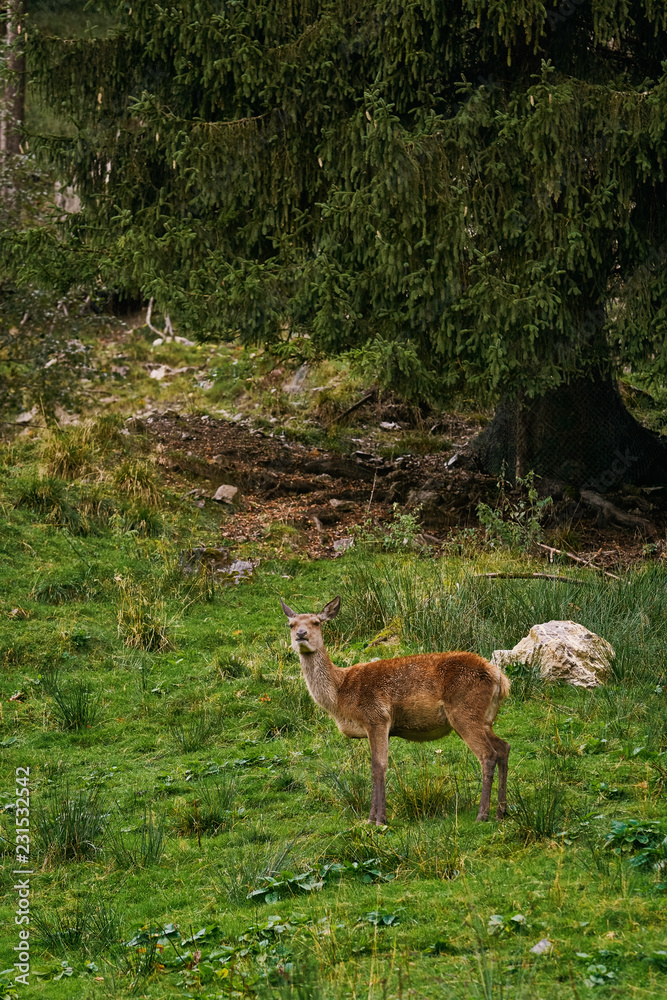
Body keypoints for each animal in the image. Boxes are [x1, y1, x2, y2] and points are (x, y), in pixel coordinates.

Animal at [280, 595, 511, 825]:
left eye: (316, 622)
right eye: (291, 624)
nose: (301, 634)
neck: (341, 696)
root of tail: (500, 678)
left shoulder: (376, 717)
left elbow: (378, 766)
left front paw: (378, 819)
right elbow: (377, 766)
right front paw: (372, 818)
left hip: (464, 712)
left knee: (487, 754)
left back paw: (482, 814)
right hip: (485, 718)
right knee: (504, 747)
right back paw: (501, 811)